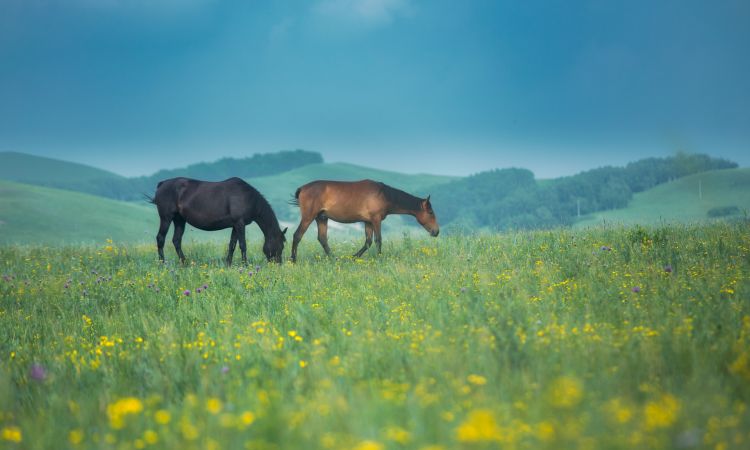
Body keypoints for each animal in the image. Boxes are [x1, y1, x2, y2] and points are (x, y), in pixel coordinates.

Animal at [148, 178, 288, 266]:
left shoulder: (235, 225)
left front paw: (228, 264)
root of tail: (162, 184)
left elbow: (232, 245)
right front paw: (245, 264)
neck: (249, 198)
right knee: (160, 238)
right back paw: (162, 263)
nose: (278, 264)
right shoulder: (240, 223)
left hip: (179, 220)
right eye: (281, 245)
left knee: (176, 240)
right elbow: (243, 245)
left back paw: (184, 263)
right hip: (166, 218)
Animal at [290, 178, 440, 260]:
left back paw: (335, 259)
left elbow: (368, 242)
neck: (384, 194)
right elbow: (378, 240)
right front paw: (379, 258)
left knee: (322, 239)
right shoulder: (376, 220)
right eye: (431, 212)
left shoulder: (368, 222)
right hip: (308, 217)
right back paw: (293, 260)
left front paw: (353, 257)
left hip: (322, 218)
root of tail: (302, 188)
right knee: (297, 235)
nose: (436, 231)